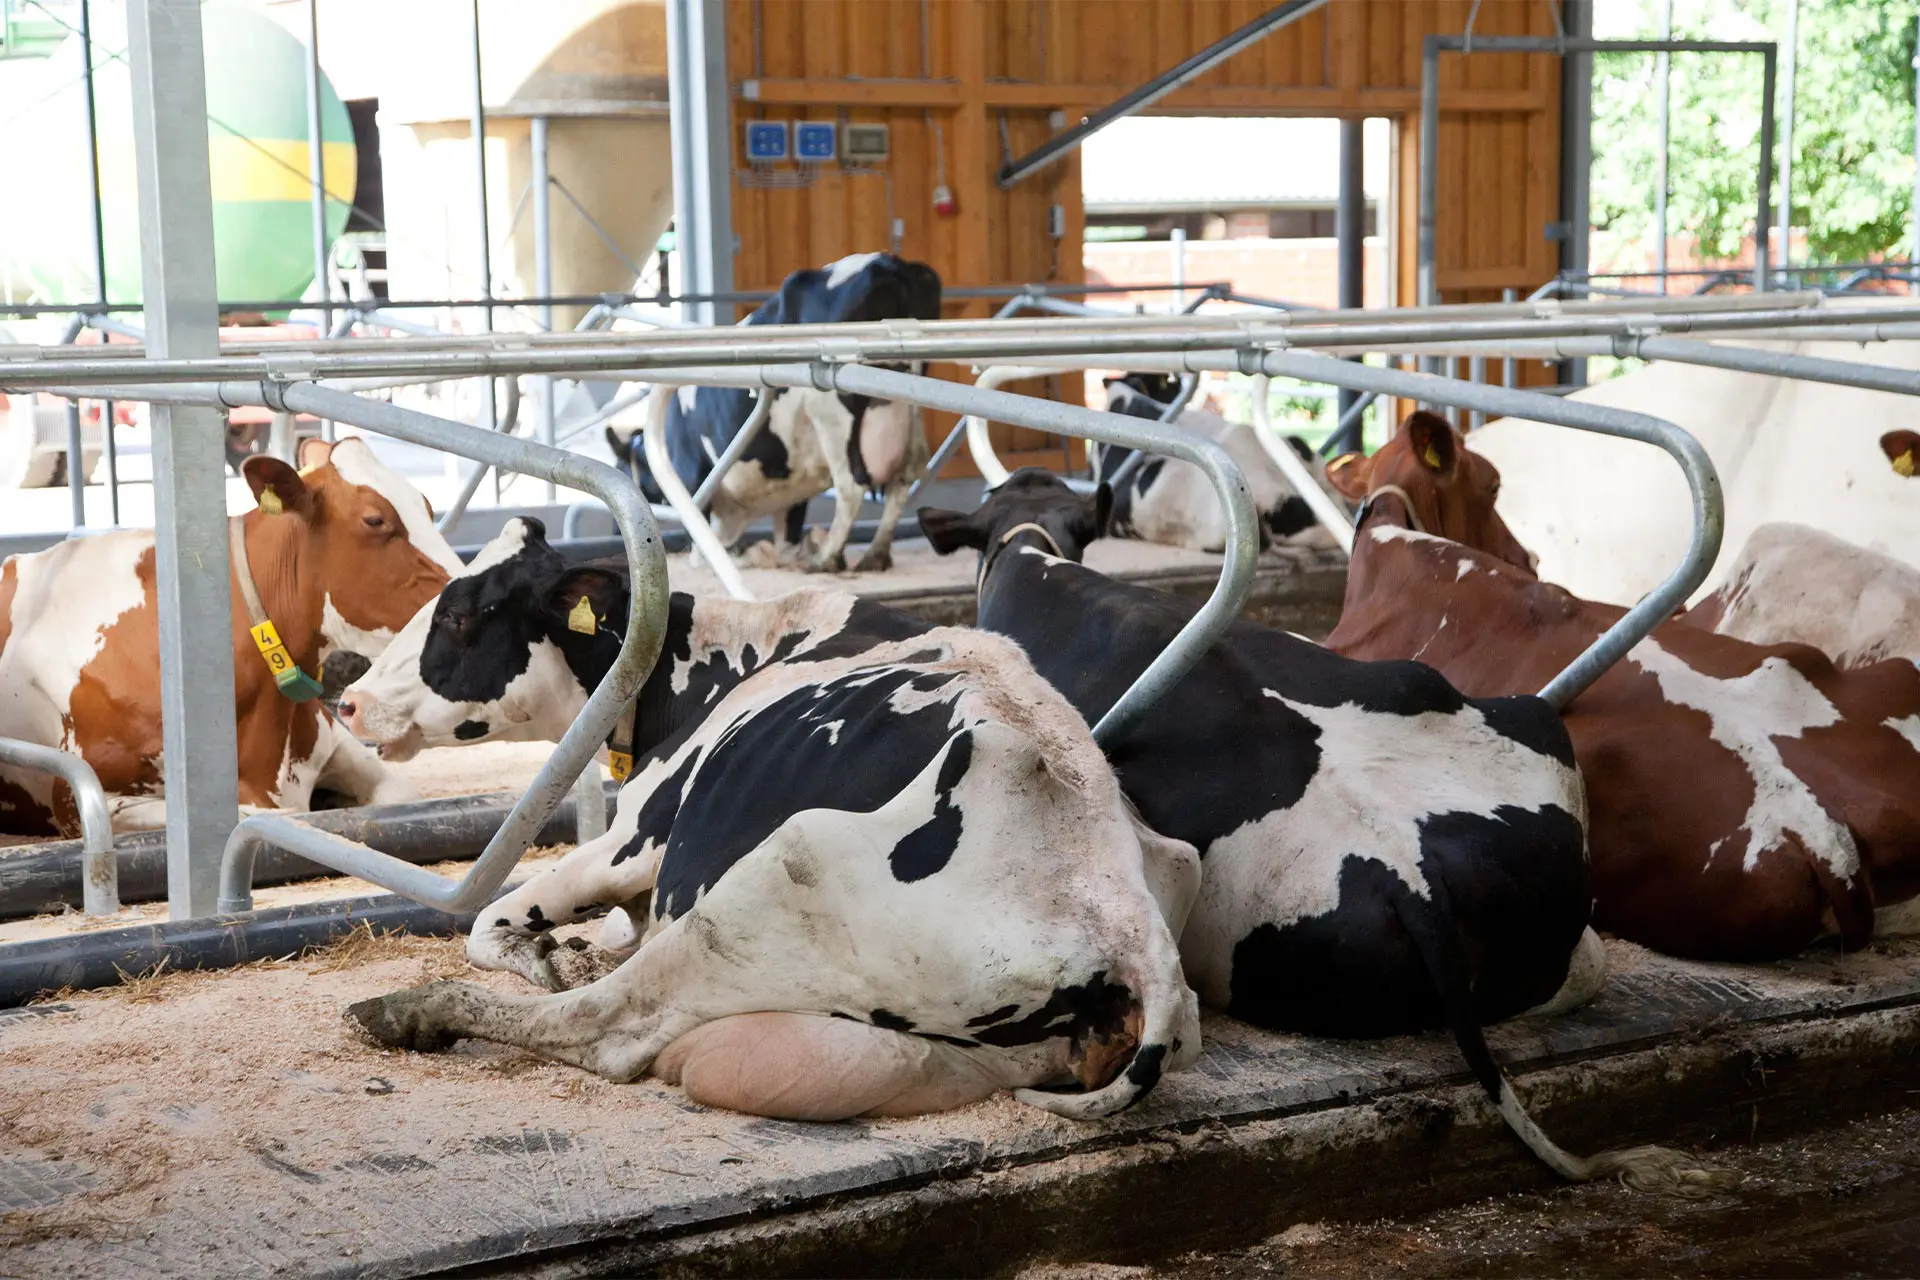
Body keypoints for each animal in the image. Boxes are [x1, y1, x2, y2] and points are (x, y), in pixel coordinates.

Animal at [334, 521, 1198, 1120]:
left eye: (463, 615)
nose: (347, 701)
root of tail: (1128, 925)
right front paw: (566, 947)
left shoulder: (635, 839)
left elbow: (491, 923)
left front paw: (553, 955)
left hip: (780, 874)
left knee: (607, 1026)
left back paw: (413, 1010)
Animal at [602, 253, 940, 571]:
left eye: (621, 468)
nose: (616, 534)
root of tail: (888, 261)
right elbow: (787, 532)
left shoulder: (692, 476)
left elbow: (701, 538)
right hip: (909, 396)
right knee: (905, 476)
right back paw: (874, 555)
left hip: (831, 411)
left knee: (851, 486)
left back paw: (827, 558)